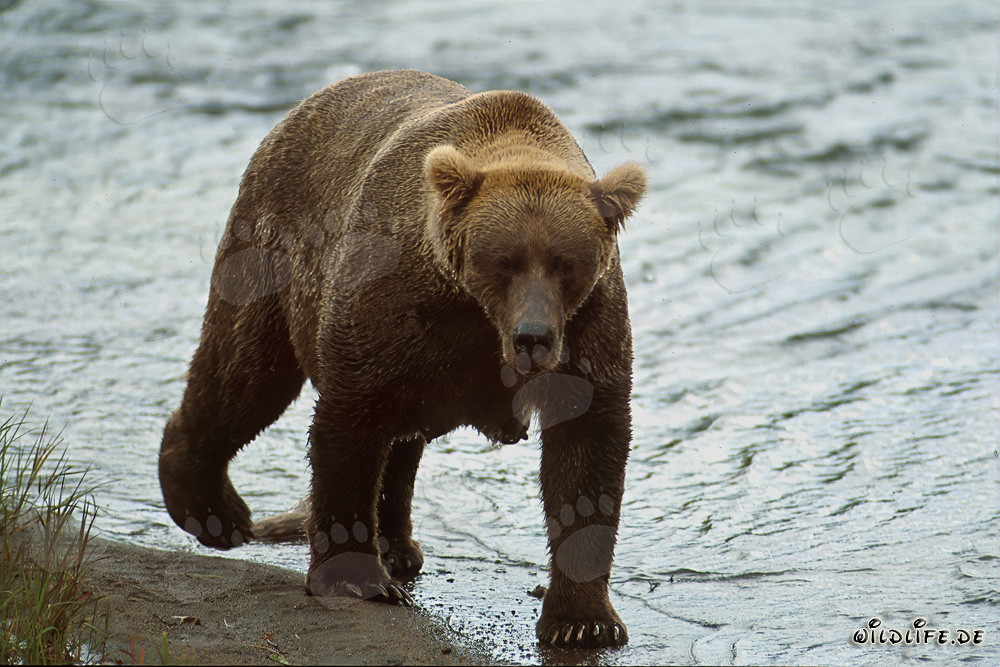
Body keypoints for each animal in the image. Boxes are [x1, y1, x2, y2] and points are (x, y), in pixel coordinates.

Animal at [158, 69, 646, 648]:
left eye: (565, 264)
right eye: (503, 262)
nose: (533, 337)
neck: (476, 315)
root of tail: (297, 112)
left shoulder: (588, 329)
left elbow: (586, 451)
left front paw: (583, 620)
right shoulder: (390, 299)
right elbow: (348, 422)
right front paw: (356, 577)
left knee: (398, 437)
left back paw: (396, 545)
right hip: (271, 250)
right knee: (244, 376)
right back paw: (215, 511)